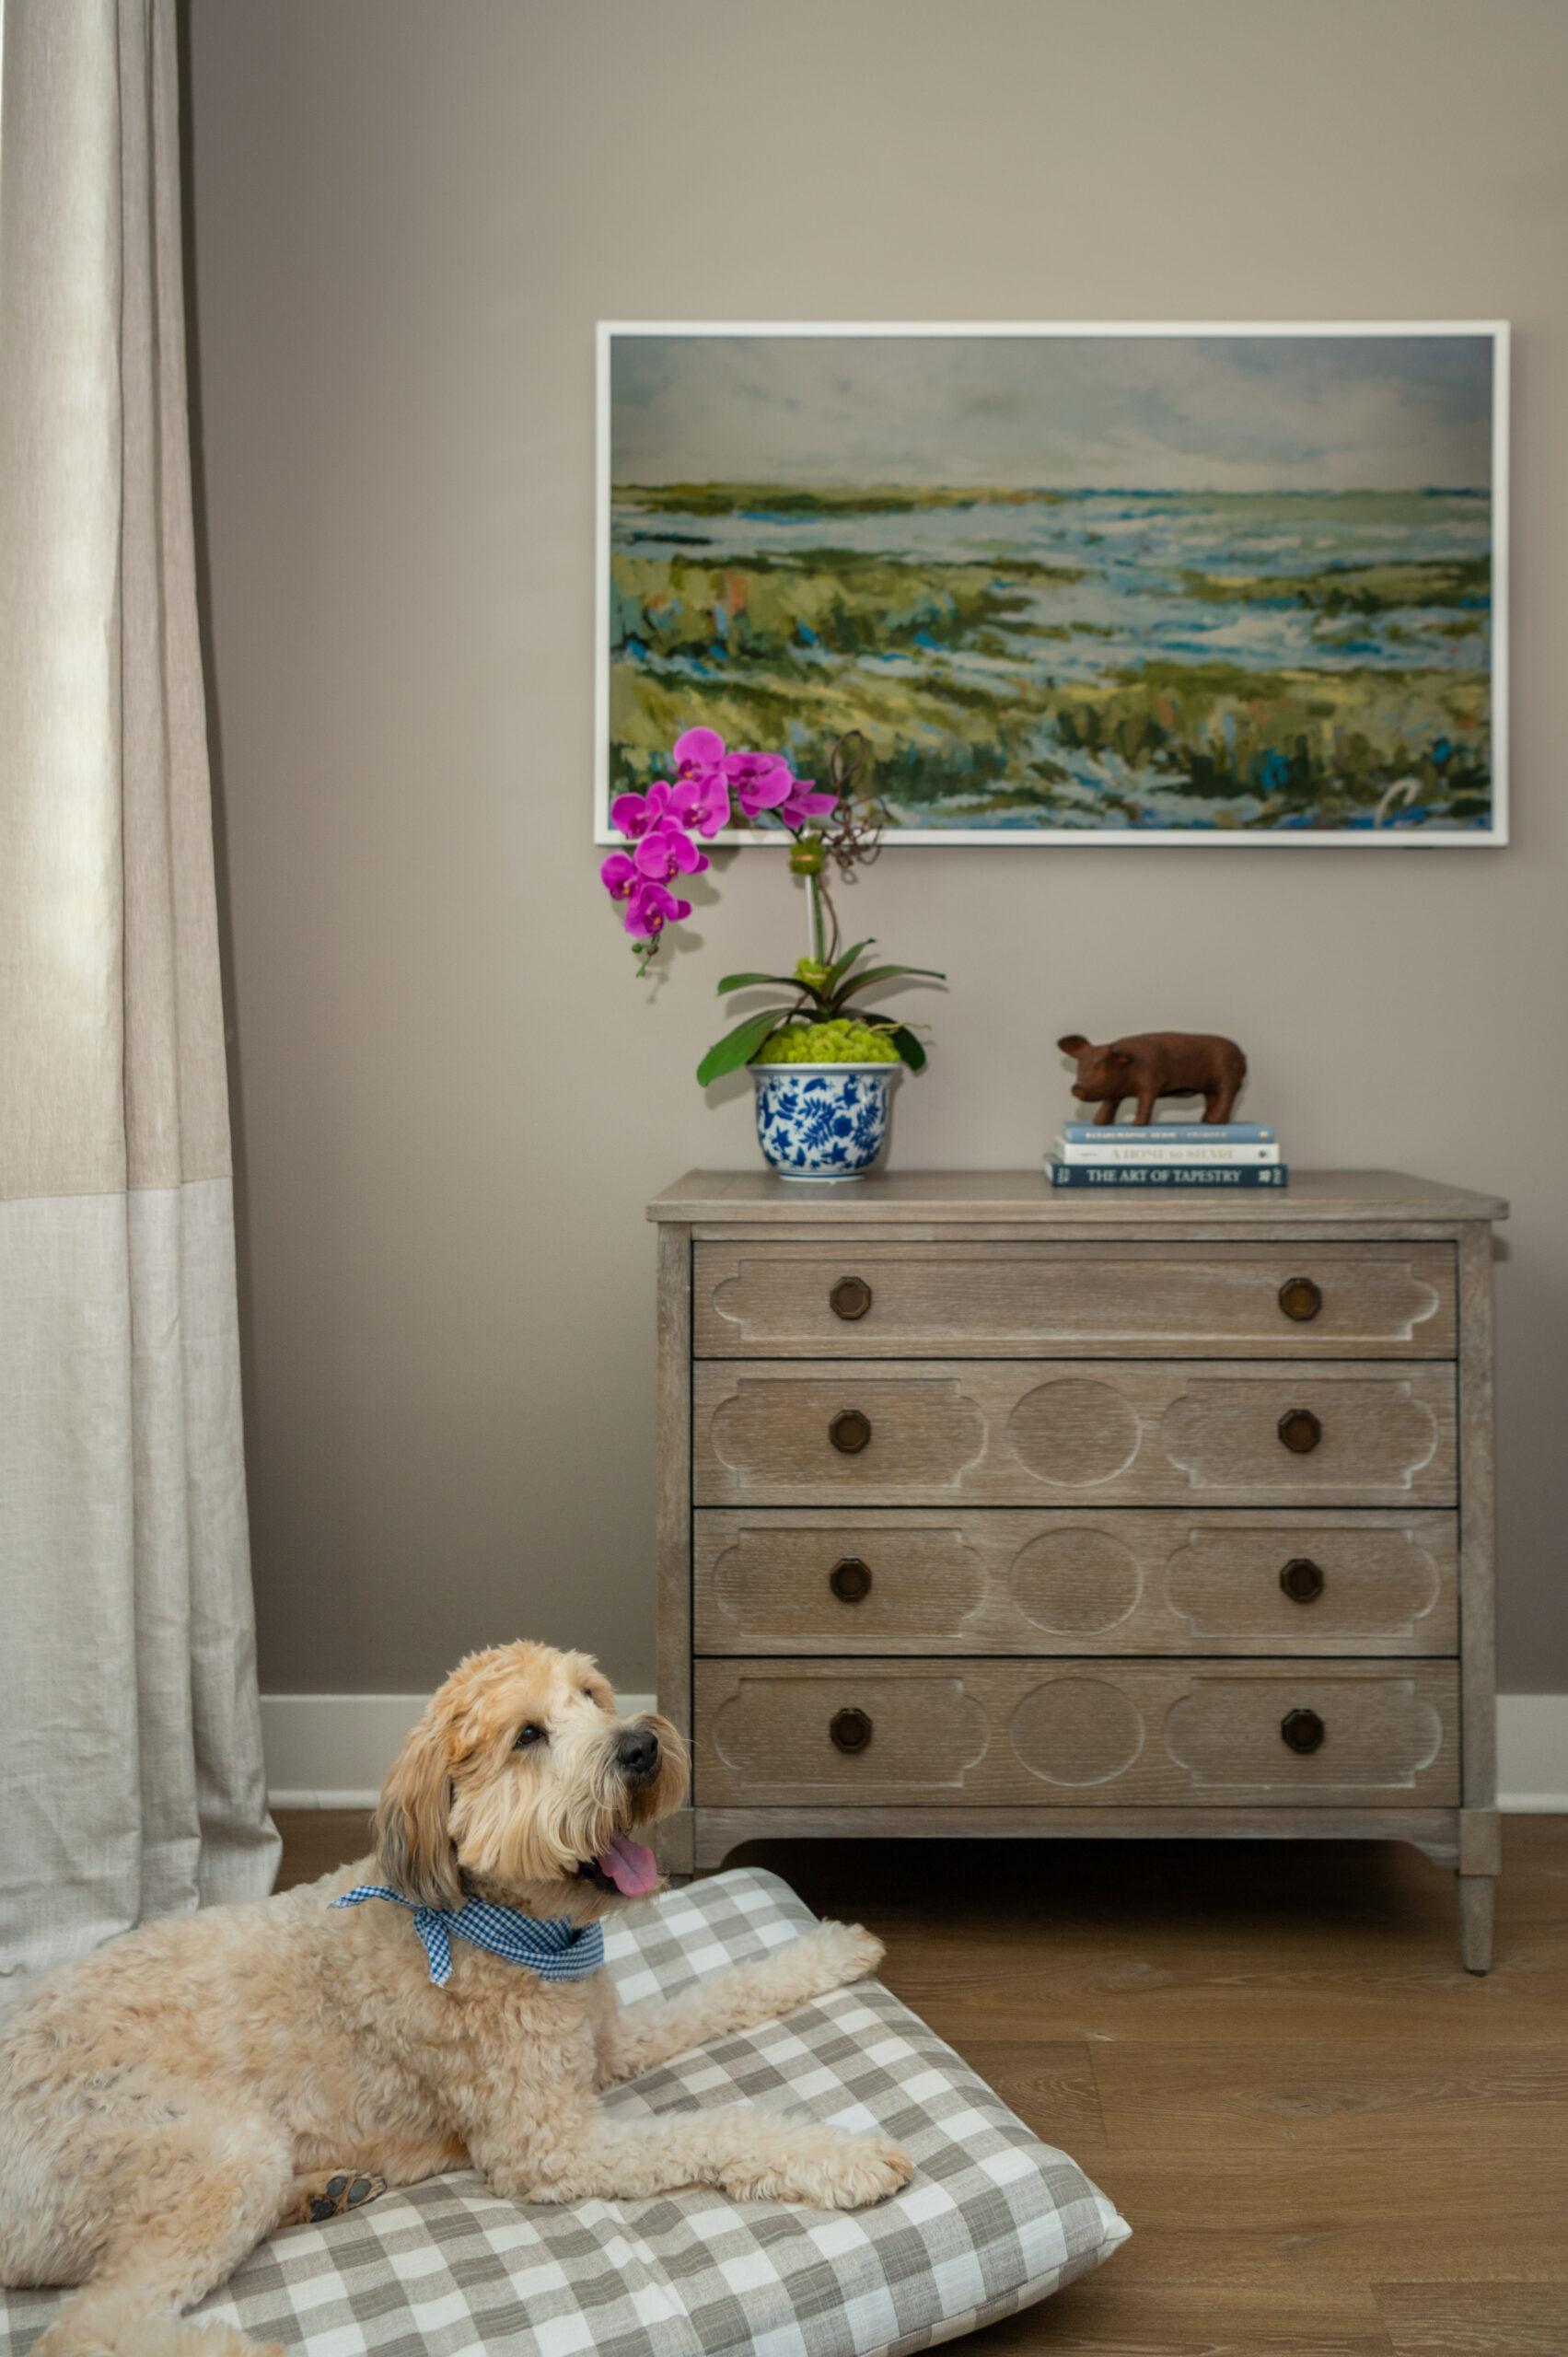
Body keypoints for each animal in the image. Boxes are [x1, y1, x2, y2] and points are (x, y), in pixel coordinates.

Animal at [0, 1640, 910, 2357]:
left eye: (591, 1693)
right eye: (528, 1736)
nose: (642, 1745)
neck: (503, 1927)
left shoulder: (606, 2040)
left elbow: (725, 1988)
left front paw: (833, 1947)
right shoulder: (550, 2146)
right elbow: (713, 2128)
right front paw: (843, 2157)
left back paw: (323, 2193)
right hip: (209, 2152)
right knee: (83, 2329)